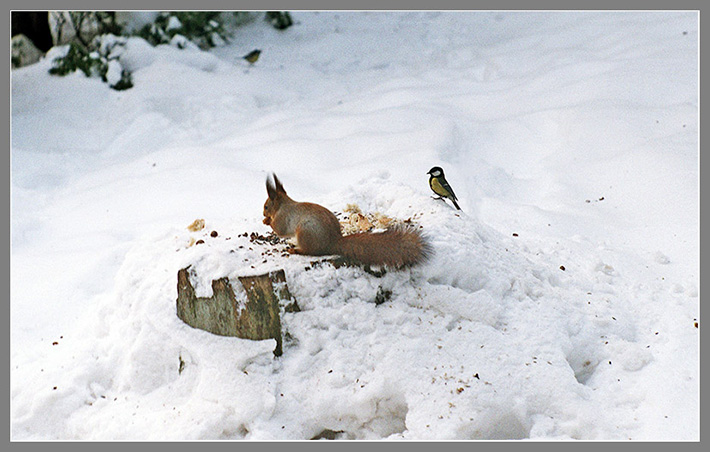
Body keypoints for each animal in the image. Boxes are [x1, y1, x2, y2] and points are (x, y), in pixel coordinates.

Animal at [262, 174, 428, 266]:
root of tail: (333, 242)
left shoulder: (283, 217)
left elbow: (280, 229)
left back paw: (294, 250)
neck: (284, 204)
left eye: (266, 206)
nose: (263, 213)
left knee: (311, 252)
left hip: (305, 233)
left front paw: (267, 221)